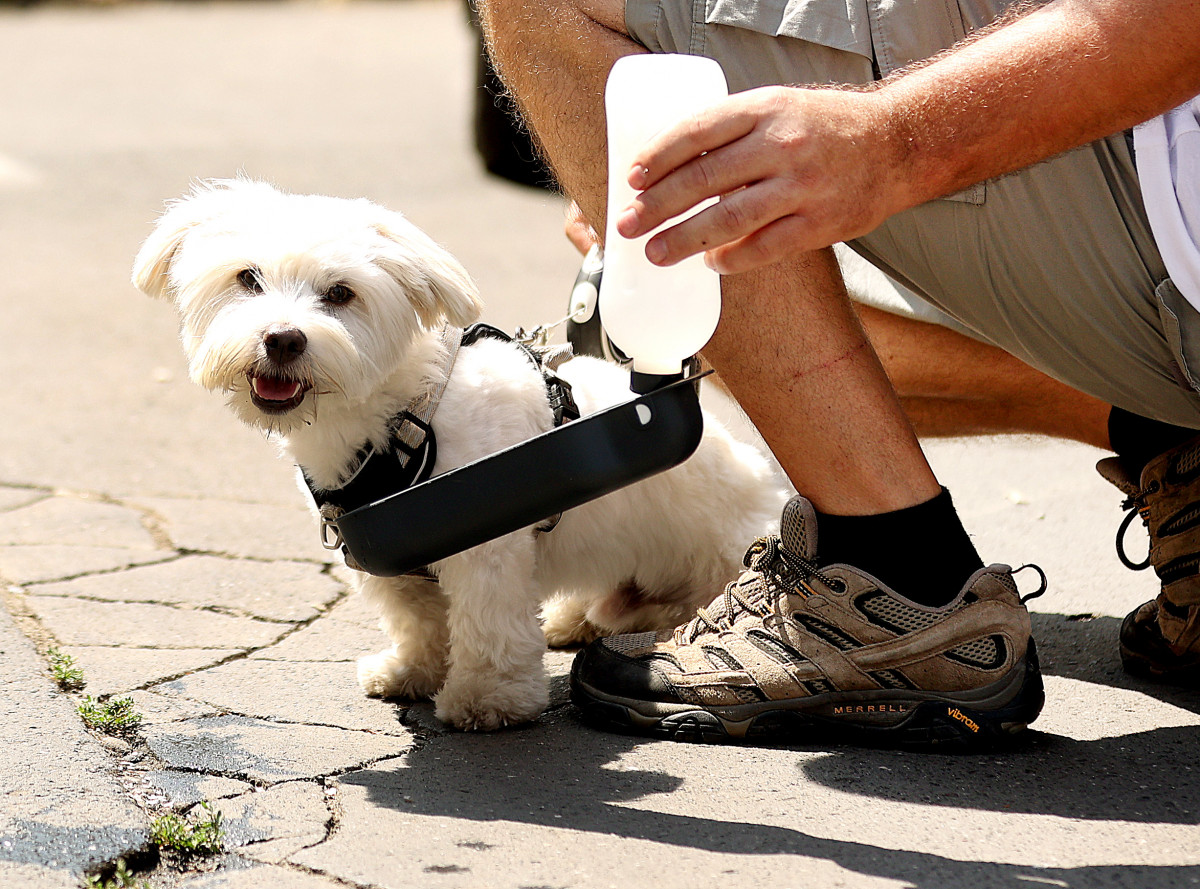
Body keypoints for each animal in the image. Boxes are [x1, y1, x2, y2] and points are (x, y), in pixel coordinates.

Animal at [133, 178, 787, 729]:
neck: (405, 419)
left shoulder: (487, 549)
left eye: (341, 293)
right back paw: (575, 617)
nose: (282, 339)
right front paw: (414, 671)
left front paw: (487, 698)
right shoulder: (395, 555)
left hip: (711, 560)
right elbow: (418, 617)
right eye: (248, 279)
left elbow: (489, 624)